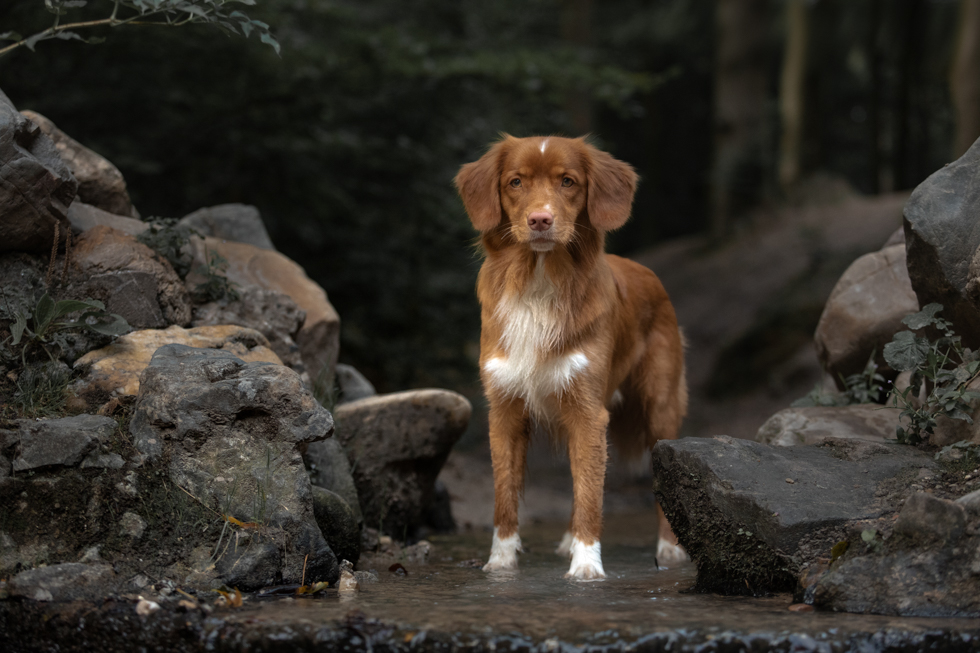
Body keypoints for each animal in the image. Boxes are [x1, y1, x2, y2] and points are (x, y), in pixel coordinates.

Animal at [454, 135, 688, 580]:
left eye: (568, 181)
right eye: (515, 182)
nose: (540, 220)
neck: (538, 281)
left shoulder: (588, 411)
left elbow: (591, 494)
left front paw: (587, 565)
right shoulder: (505, 408)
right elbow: (505, 493)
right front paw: (501, 561)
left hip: (660, 408)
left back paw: (669, 549)